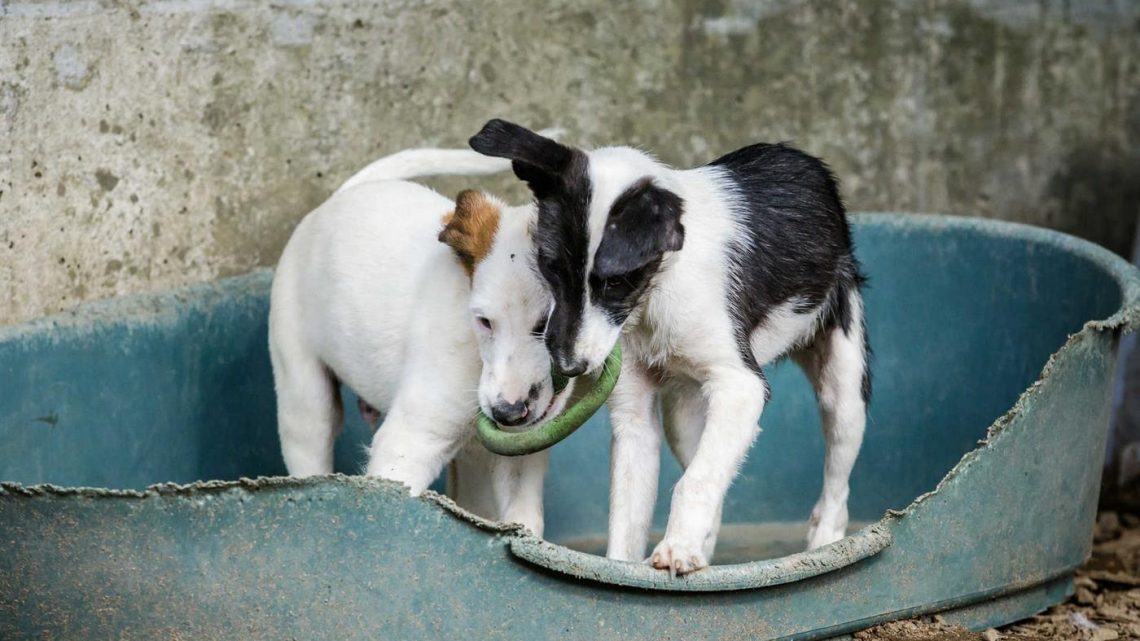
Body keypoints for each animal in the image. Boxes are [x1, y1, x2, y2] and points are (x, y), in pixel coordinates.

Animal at [265, 142, 570, 531]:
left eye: (546, 325)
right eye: (484, 321)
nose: (508, 413)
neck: (475, 353)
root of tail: (337, 199)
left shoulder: (518, 454)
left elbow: (525, 522)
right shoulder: (407, 444)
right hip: (304, 398)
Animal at [467, 119, 866, 574]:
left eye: (614, 282)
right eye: (550, 267)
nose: (568, 367)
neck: (655, 295)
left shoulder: (741, 386)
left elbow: (695, 482)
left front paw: (675, 548)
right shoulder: (634, 417)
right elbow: (629, 513)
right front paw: (629, 568)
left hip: (842, 383)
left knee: (836, 476)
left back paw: (824, 540)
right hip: (684, 413)